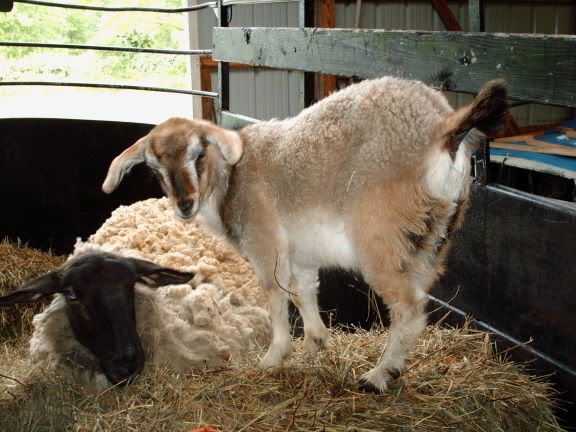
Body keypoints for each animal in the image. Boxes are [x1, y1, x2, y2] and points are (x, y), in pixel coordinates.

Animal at [101, 77, 506, 392]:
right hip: (430, 239)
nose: (184, 205)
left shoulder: (266, 244)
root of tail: (443, 129)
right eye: (154, 168)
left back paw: (378, 375)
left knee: (409, 306)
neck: (231, 180)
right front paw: (315, 344)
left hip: (381, 238)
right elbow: (303, 293)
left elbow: (276, 297)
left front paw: (273, 357)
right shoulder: (301, 256)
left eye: (198, 153)